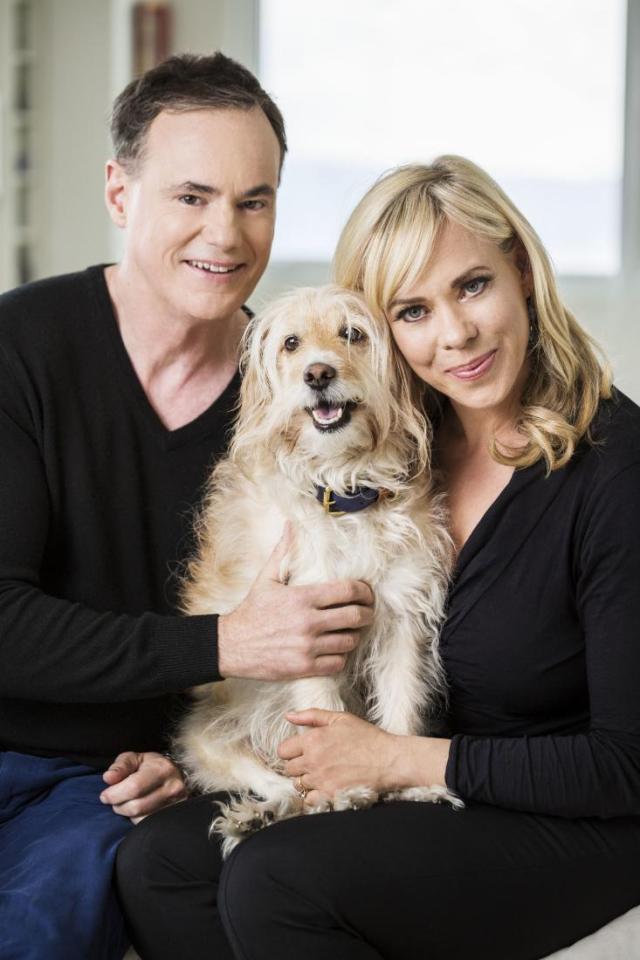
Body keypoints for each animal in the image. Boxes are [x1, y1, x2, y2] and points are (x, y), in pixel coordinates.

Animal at [172, 284, 458, 856]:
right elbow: (324, 714)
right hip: (208, 738)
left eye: (353, 334)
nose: (318, 374)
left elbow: (401, 703)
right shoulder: (306, 625)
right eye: (291, 344)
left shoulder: (402, 616)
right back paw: (256, 814)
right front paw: (345, 789)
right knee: (277, 781)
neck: (345, 490)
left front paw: (411, 784)